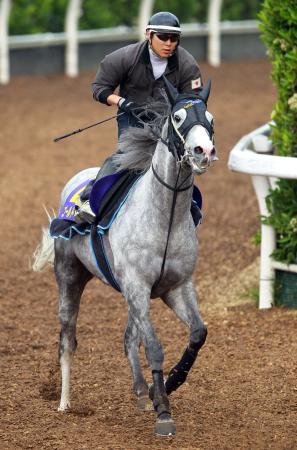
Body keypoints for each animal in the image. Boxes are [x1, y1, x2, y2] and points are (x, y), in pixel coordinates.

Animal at [33, 81, 216, 436]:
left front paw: (169, 383)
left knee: (129, 338)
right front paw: (164, 412)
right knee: (67, 341)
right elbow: (154, 345)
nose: (204, 151)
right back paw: (64, 402)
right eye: (178, 116)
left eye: (210, 118)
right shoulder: (137, 286)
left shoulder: (176, 287)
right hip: (69, 277)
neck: (164, 218)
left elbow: (197, 333)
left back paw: (142, 391)